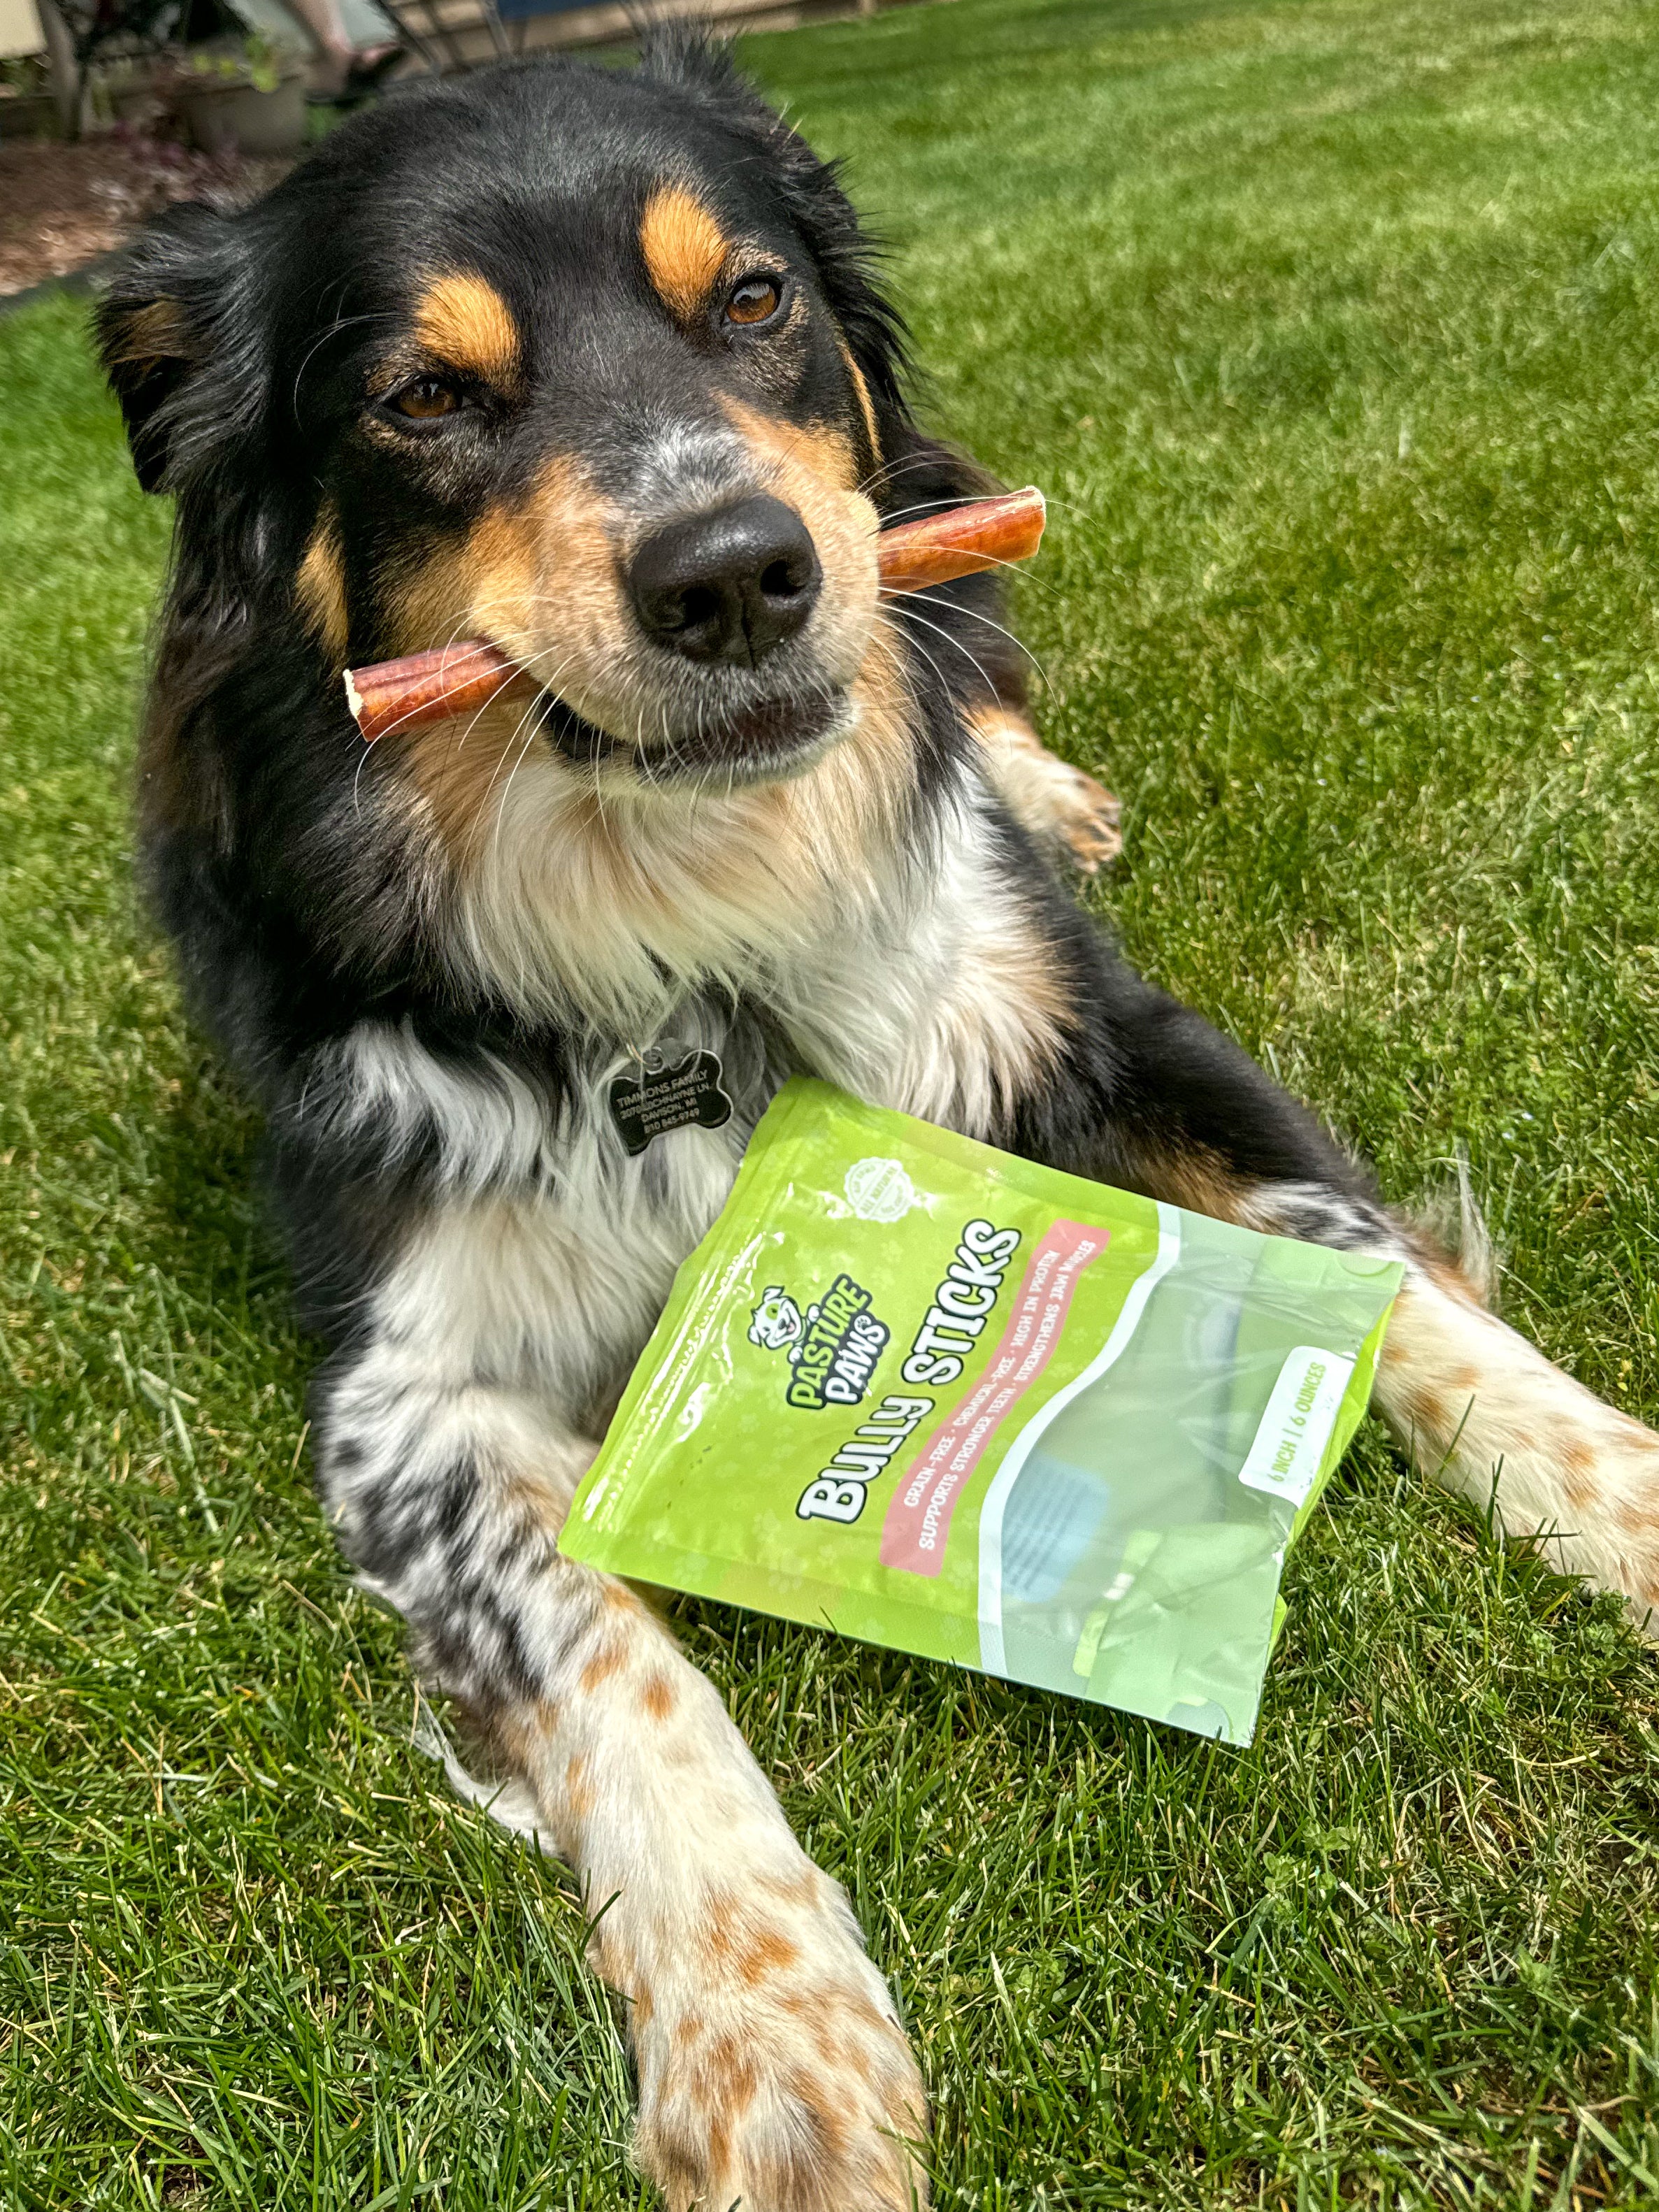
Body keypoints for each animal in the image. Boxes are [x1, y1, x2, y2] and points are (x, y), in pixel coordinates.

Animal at [100, 34, 1659, 2212]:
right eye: (422, 397)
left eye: (750, 298)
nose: (735, 575)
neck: (690, 932)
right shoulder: (403, 1387)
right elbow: (605, 1648)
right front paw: (768, 2038)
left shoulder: (1095, 1023)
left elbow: (1390, 1289)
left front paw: (1632, 1504)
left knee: (972, 644)